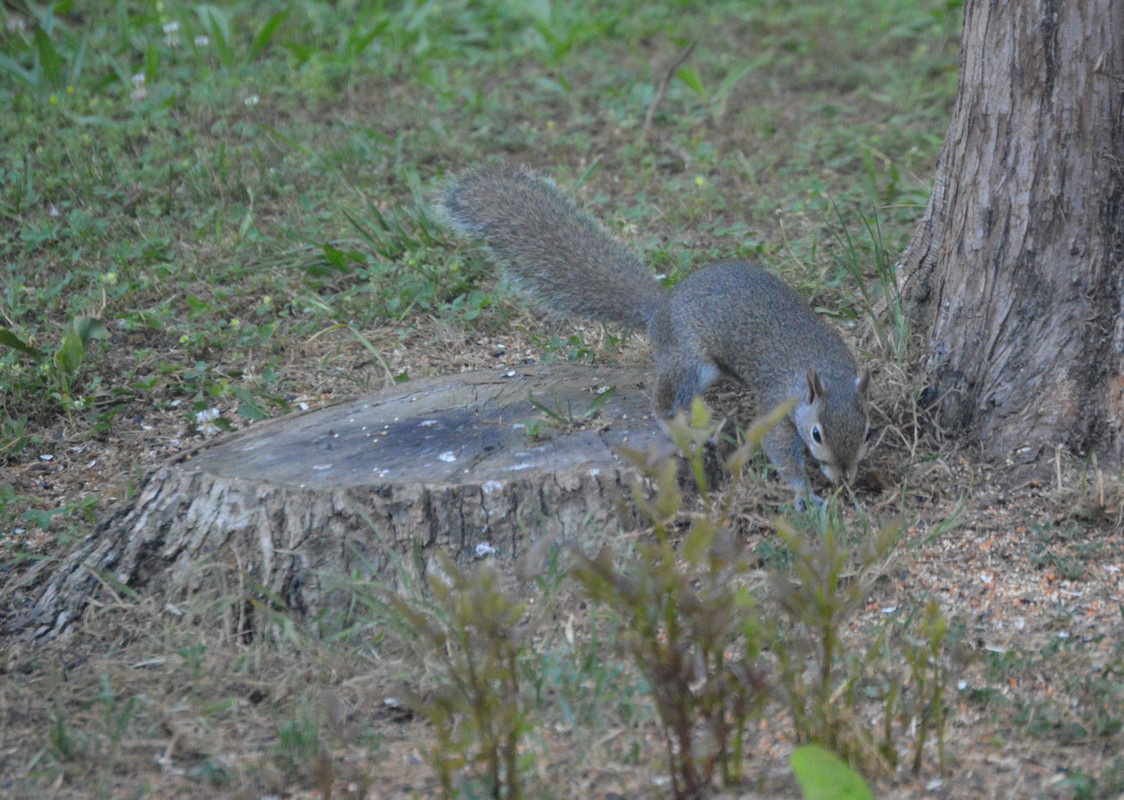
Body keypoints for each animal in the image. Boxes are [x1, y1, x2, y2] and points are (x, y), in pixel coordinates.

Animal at [441, 162, 870, 507]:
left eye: (865, 430)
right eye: (816, 434)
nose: (843, 477)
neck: (824, 369)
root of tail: (661, 308)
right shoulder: (778, 402)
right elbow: (778, 447)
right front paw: (805, 494)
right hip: (692, 361)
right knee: (661, 402)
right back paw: (682, 431)